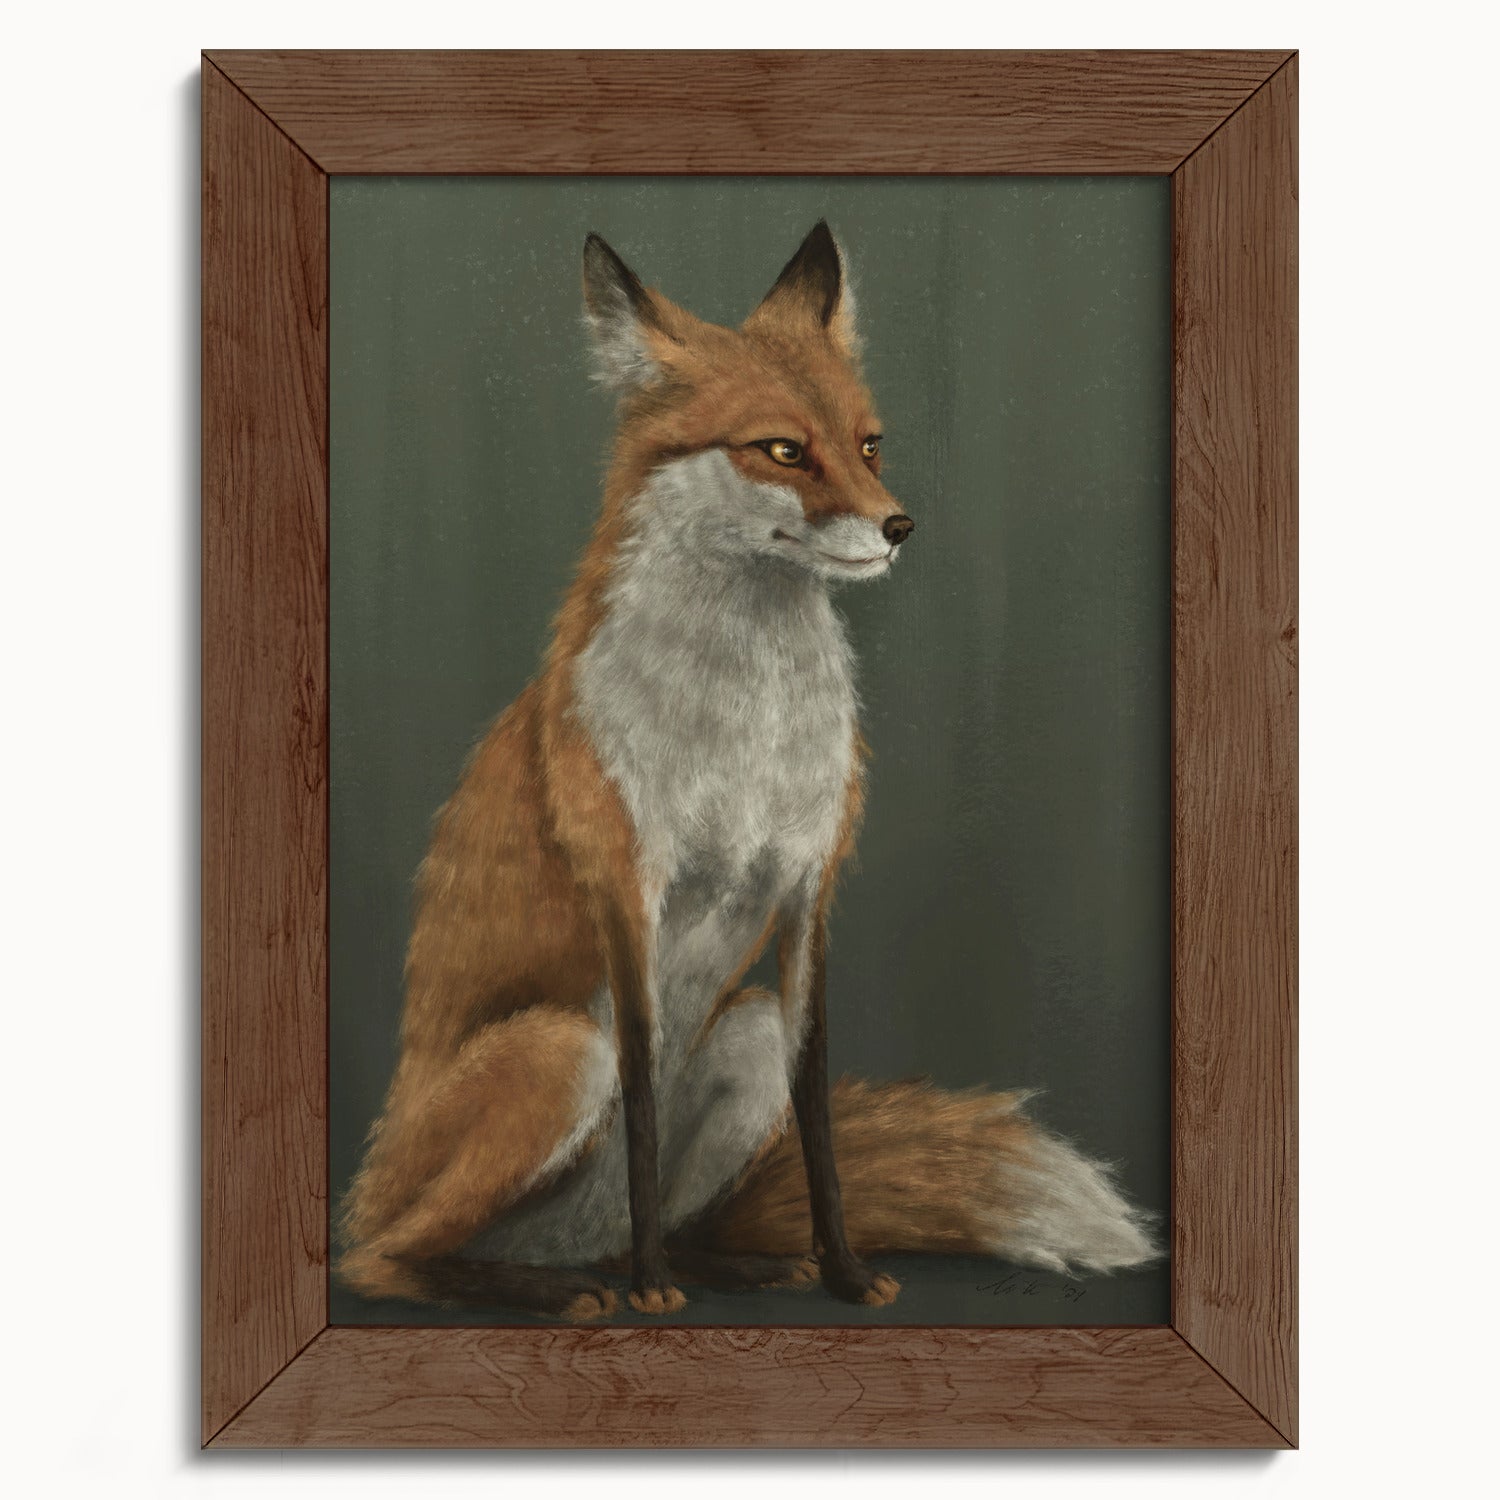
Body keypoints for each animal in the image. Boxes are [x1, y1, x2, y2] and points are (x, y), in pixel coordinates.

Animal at [337, 221, 1157, 1321]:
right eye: (781, 450)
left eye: (869, 443)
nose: (899, 526)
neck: (747, 731)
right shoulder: (628, 891)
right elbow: (642, 1101)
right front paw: (652, 1294)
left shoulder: (810, 889)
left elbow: (817, 1114)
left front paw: (844, 1272)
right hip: (559, 1051)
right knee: (385, 1260)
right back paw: (563, 1288)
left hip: (745, 1032)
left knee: (670, 1217)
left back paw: (727, 1264)